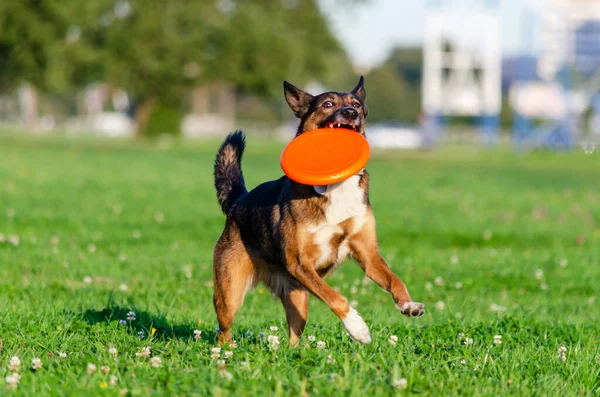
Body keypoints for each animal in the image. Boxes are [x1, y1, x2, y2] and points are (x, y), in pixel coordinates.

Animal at [213, 76, 424, 344]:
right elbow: (336, 298)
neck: (336, 187)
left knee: (293, 338)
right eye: (328, 103)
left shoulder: (368, 255)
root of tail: (238, 201)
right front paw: (358, 328)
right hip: (230, 294)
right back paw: (227, 349)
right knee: (223, 329)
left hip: (298, 298)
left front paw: (409, 305)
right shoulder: (301, 264)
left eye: (356, 104)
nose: (351, 112)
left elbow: (394, 281)